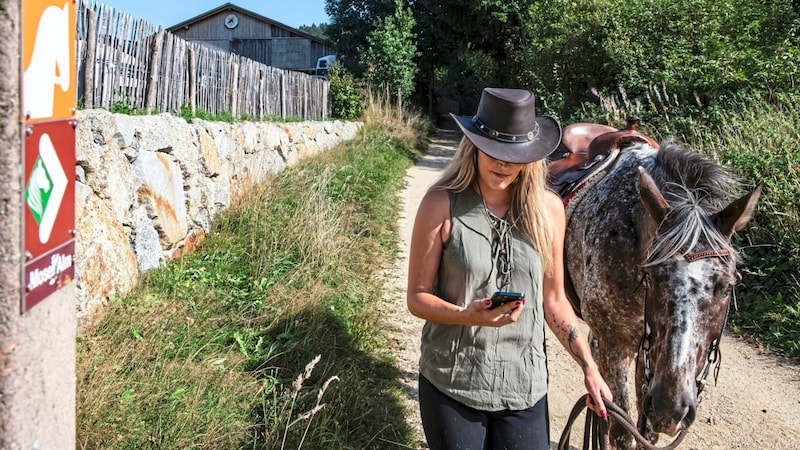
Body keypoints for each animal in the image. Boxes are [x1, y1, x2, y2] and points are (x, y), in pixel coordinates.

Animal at [552, 122, 764, 446]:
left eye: (727, 288)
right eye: (652, 276)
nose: (671, 408)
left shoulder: (648, 353)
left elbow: (645, 432)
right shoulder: (616, 346)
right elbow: (622, 432)